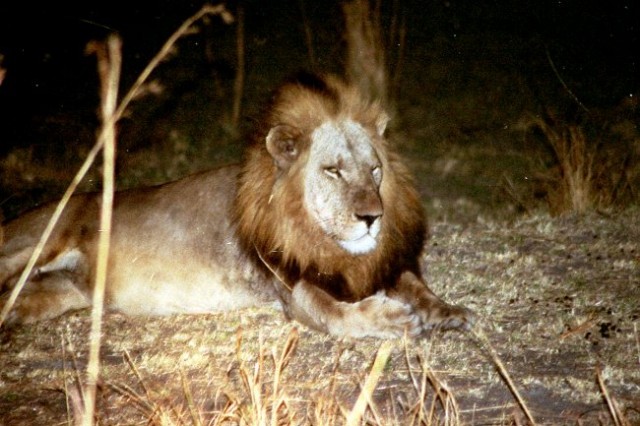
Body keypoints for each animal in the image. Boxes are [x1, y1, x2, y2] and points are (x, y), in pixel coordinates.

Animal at [0, 74, 470, 340]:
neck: (320, 237)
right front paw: (391, 321)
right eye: (333, 171)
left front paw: (447, 310)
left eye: (374, 170)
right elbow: (335, 314)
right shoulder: (290, 285)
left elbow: (414, 284)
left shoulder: (375, 266)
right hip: (39, 241)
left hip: (62, 293)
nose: (373, 218)